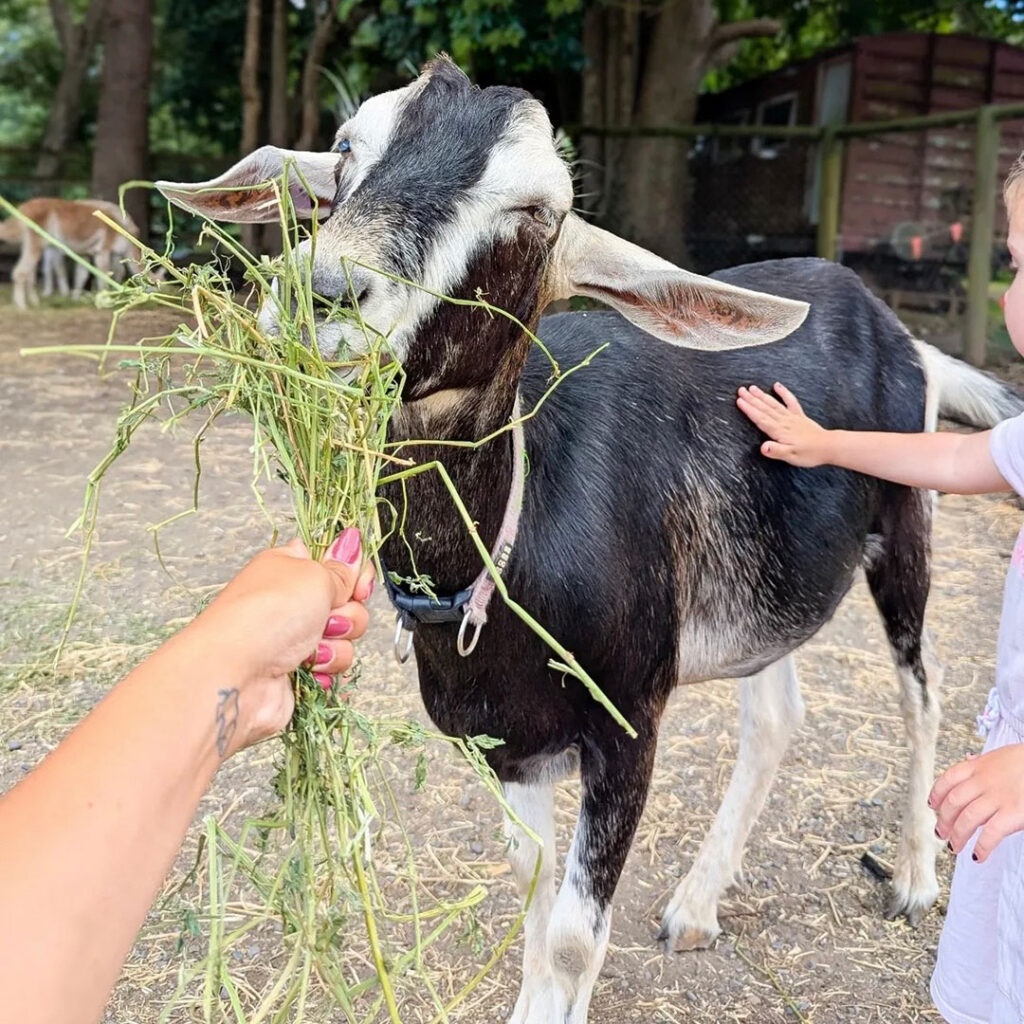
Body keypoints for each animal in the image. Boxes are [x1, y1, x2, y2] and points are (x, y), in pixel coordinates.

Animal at [0, 197, 141, 309]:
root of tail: (23, 209)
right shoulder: (102, 250)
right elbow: (103, 274)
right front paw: (105, 301)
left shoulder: (88, 253)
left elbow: (82, 275)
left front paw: (76, 298)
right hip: (37, 242)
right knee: (21, 271)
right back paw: (22, 306)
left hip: (34, 243)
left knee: (31, 273)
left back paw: (35, 302)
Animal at [156, 58, 1024, 1023]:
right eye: (346, 149)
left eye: (537, 210)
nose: (324, 293)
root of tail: (904, 335)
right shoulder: (509, 743)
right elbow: (534, 896)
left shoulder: (628, 722)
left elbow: (574, 940)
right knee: (775, 713)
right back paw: (696, 905)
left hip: (908, 519)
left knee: (923, 691)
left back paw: (912, 878)